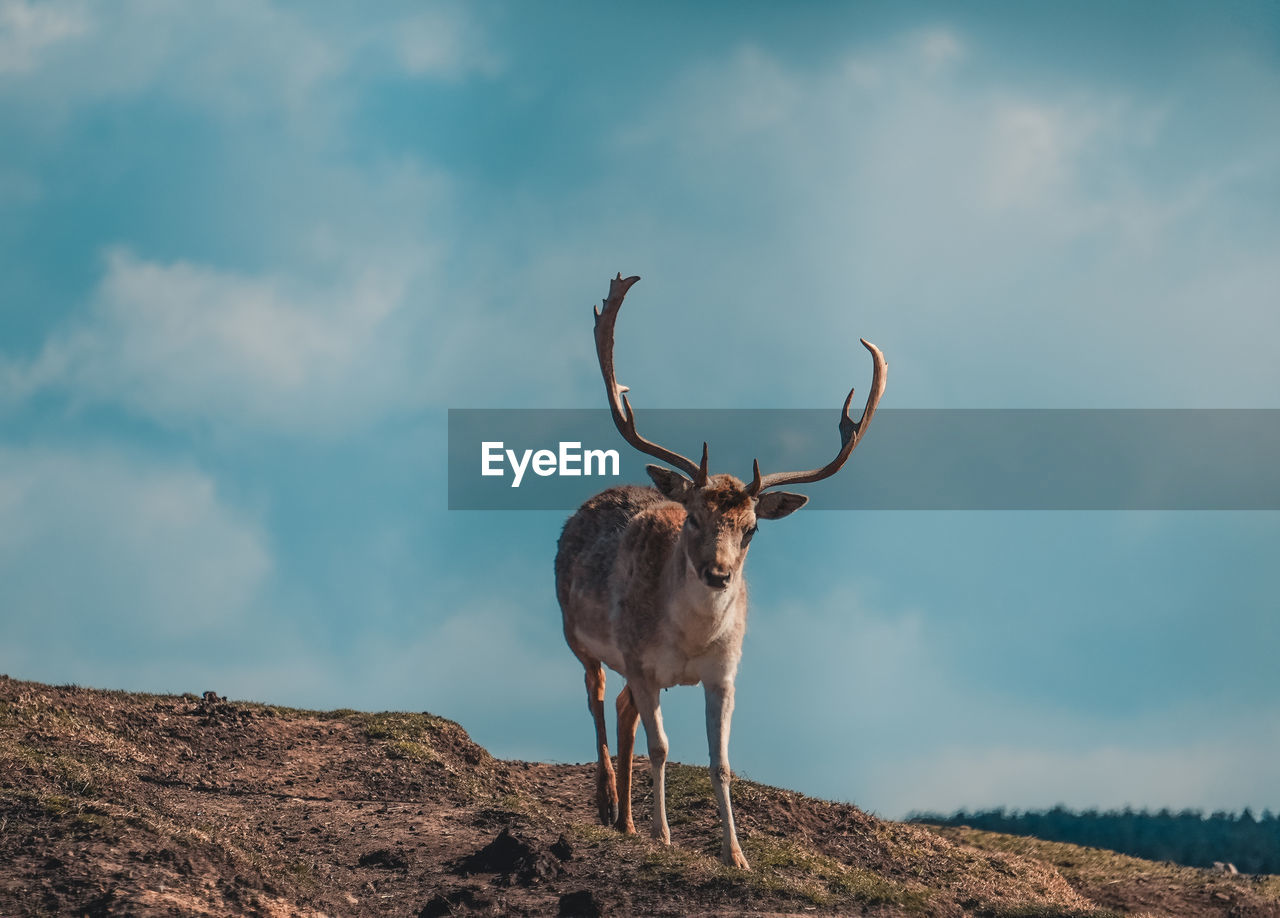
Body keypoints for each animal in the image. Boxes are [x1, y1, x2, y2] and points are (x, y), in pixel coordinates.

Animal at [555, 272, 885, 865]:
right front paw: (665, 835)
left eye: (751, 528)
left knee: (622, 709)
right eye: (693, 517)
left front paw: (736, 855)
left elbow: (722, 764)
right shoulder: (641, 662)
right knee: (596, 700)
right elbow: (662, 748)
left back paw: (626, 822)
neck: (689, 641)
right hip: (580, 637)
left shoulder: (724, 673)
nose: (717, 574)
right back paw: (607, 803)